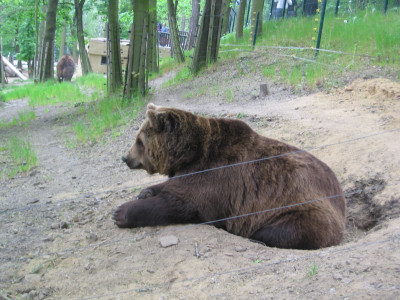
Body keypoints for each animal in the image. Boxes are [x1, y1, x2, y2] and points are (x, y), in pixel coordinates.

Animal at [114, 104, 346, 250]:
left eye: (139, 140)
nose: (125, 157)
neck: (187, 154)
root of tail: (341, 196)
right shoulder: (189, 171)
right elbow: (171, 186)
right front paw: (145, 191)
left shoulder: (215, 175)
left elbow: (181, 204)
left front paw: (121, 212)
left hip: (299, 207)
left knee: (284, 231)